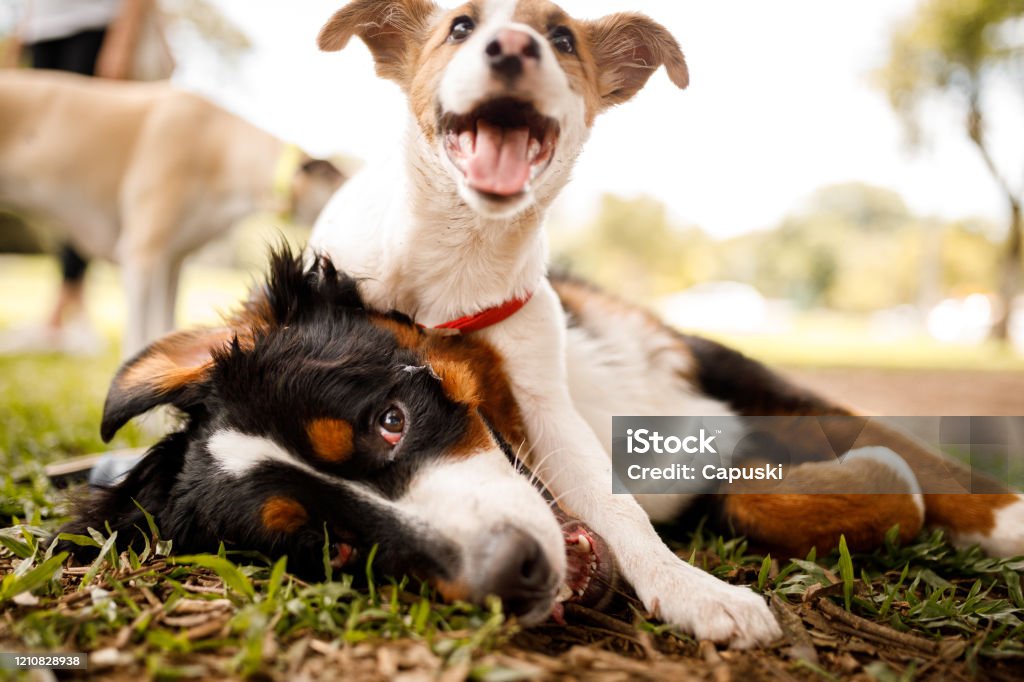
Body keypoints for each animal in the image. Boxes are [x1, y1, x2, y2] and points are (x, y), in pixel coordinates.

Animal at [61, 248, 1024, 638]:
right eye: (330, 549)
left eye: (390, 419)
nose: (513, 575)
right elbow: (757, 497)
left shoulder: (719, 369)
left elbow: (910, 451)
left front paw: (1006, 519)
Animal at [307, 0, 778, 647]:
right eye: (459, 27)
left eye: (562, 39)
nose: (511, 47)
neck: (461, 257)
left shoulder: (544, 403)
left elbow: (618, 505)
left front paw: (691, 587)